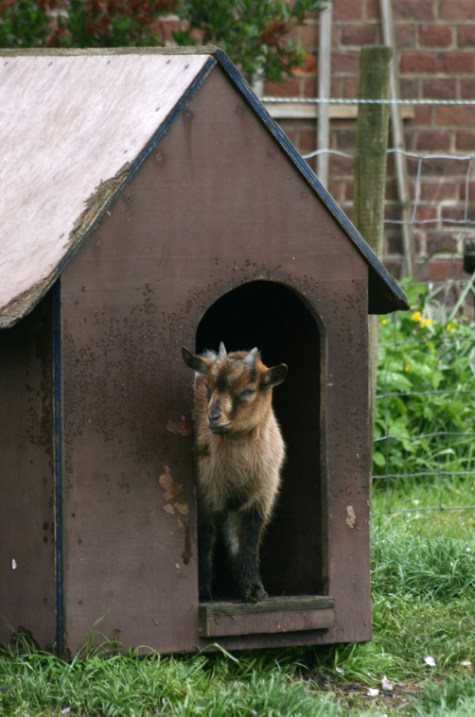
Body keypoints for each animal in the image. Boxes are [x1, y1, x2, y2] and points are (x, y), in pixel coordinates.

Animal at [181, 344, 286, 600]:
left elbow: (247, 539)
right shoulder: (204, 498)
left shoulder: (260, 498)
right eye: (207, 386)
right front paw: (203, 591)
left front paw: (254, 590)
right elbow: (204, 537)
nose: (213, 417)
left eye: (248, 390)